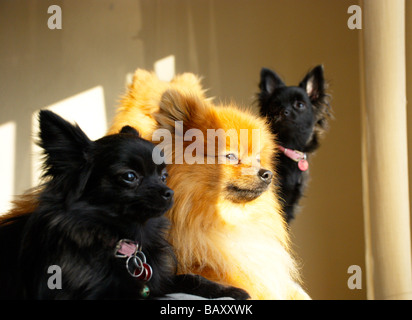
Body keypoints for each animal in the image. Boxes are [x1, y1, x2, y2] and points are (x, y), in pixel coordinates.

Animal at [0, 110, 248, 300]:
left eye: (164, 176)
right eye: (129, 176)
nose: (170, 192)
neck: (124, 242)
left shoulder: (158, 280)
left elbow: (189, 277)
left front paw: (230, 290)